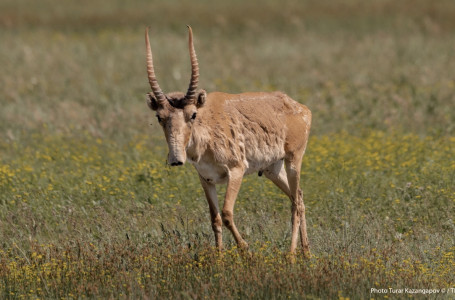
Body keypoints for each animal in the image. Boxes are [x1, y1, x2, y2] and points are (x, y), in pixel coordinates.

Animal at [146, 26, 314, 255]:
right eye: (159, 117)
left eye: (192, 114)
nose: (176, 159)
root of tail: (300, 107)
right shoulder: (206, 179)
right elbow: (214, 219)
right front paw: (219, 257)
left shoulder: (236, 171)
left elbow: (226, 214)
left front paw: (247, 251)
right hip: (272, 169)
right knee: (300, 197)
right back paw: (306, 253)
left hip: (293, 160)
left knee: (296, 202)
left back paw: (291, 256)